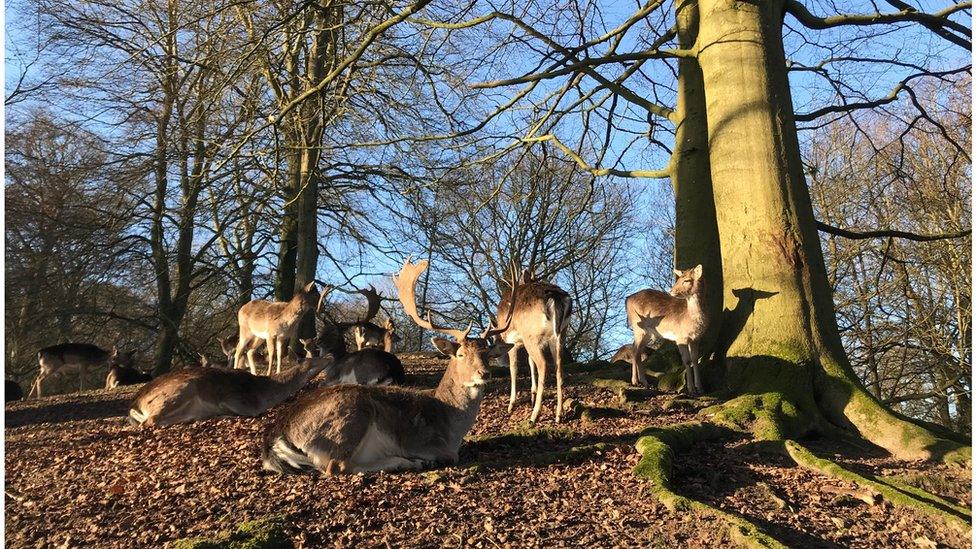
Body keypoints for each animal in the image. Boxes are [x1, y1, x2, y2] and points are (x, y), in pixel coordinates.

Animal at [260, 258, 520, 476]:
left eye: (488, 354)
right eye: (461, 354)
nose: (484, 373)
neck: (450, 426)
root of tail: (278, 433)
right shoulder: (425, 441)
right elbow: (449, 456)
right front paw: (422, 459)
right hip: (353, 413)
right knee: (336, 466)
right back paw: (406, 461)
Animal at [496, 270, 572, 424]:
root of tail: (555, 297)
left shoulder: (511, 340)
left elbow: (513, 368)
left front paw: (511, 405)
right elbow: (530, 362)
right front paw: (532, 394)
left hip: (531, 335)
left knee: (543, 364)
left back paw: (534, 416)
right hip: (559, 334)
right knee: (559, 366)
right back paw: (558, 415)